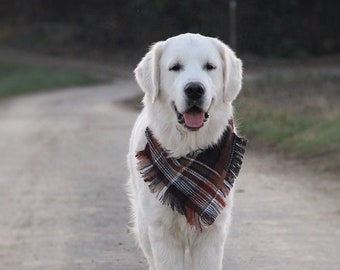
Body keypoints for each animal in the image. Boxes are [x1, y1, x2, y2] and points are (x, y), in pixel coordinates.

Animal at [127, 32, 244, 268]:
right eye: (175, 67)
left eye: (210, 66)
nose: (194, 89)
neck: (188, 151)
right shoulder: (162, 231)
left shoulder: (212, 231)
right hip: (144, 226)